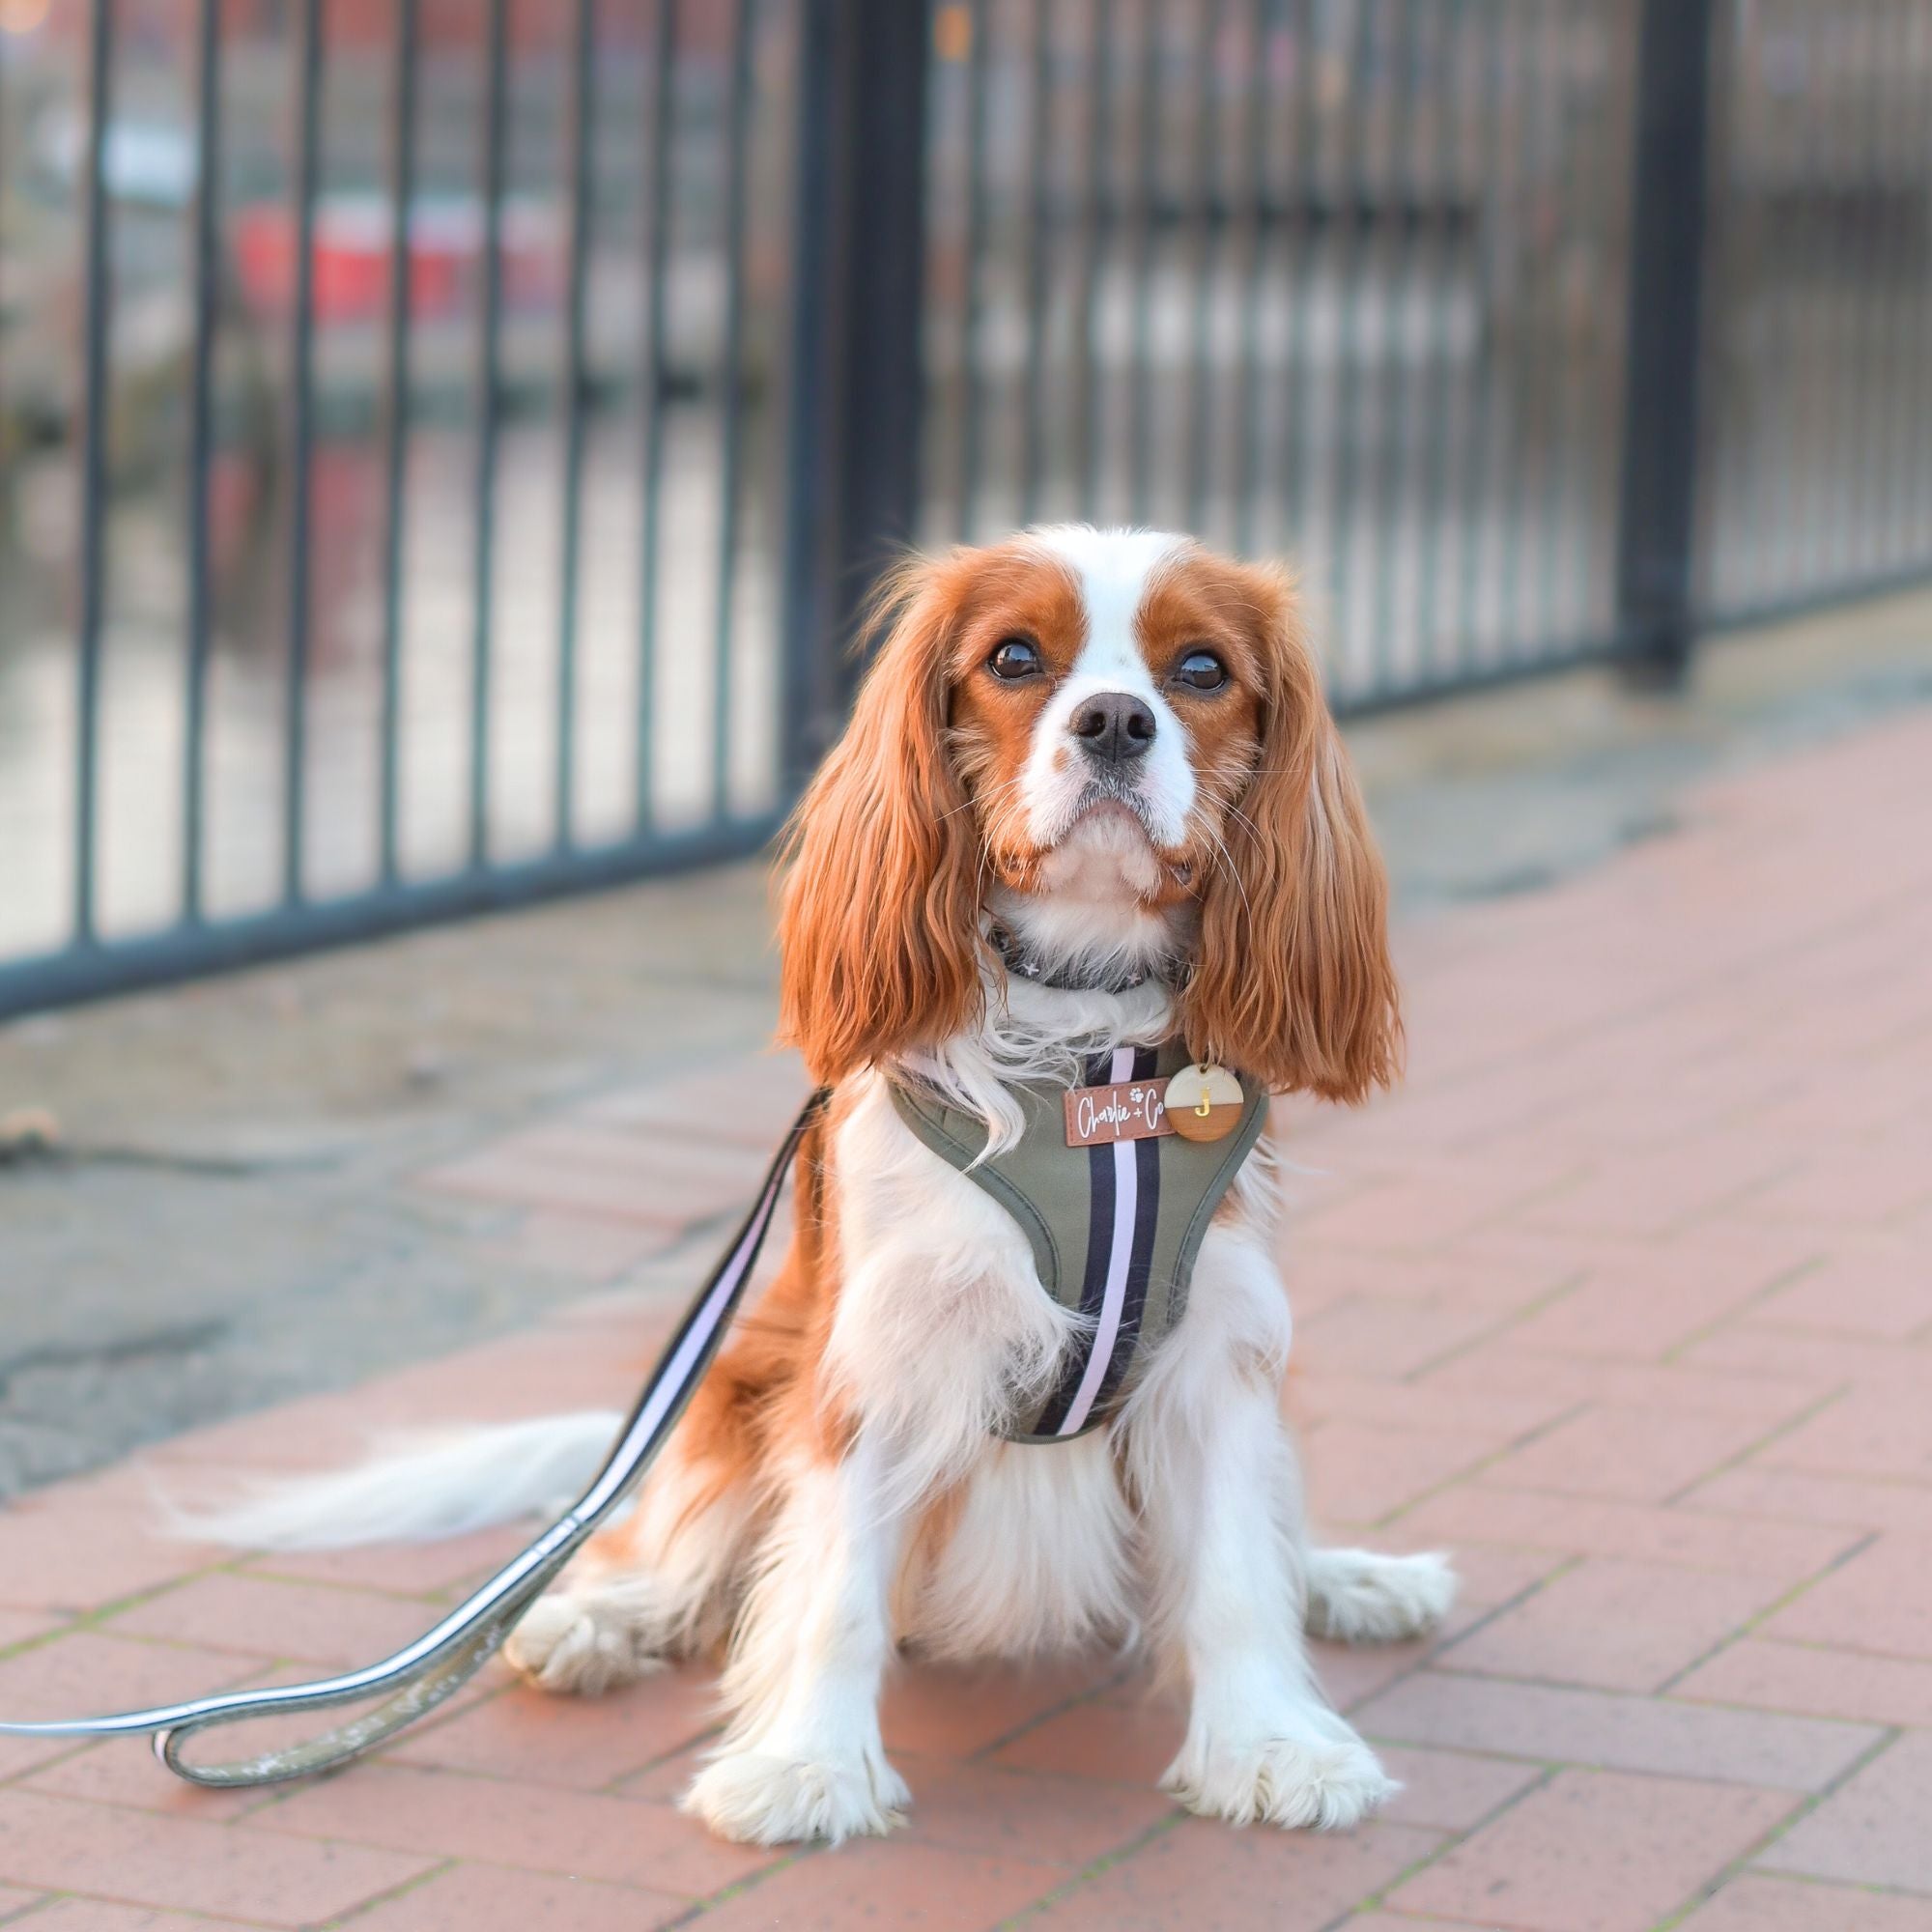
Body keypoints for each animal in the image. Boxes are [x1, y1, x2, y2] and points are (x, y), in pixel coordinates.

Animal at [208, 526, 1453, 1839]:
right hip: (737, 1372)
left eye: (1202, 670)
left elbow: (1230, 1573)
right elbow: (834, 1587)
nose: (1115, 720)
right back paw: (599, 1615)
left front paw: (1269, 1740)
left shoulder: (1216, 1350)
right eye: (1014, 658)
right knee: (669, 1538)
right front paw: (806, 1764)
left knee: (1275, 1534)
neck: (1084, 1054)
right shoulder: (877, 1361)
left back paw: (1349, 1578)